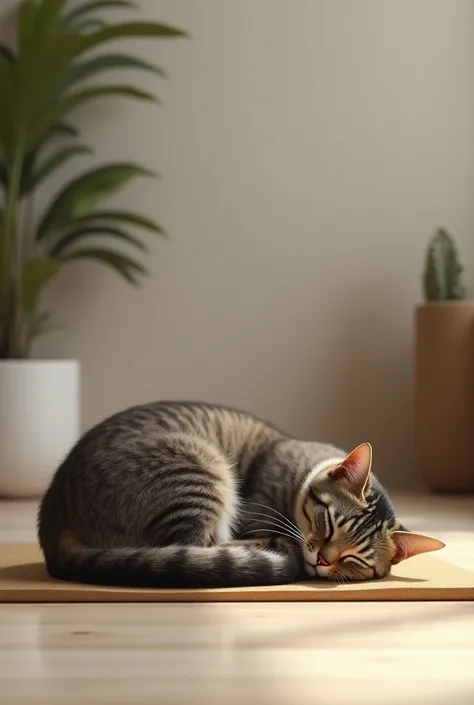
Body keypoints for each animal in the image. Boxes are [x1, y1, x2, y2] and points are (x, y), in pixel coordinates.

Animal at [37, 402, 444, 588]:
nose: (323, 561)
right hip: (201, 470)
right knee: (194, 546)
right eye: (328, 524)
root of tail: (54, 510)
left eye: (355, 559)